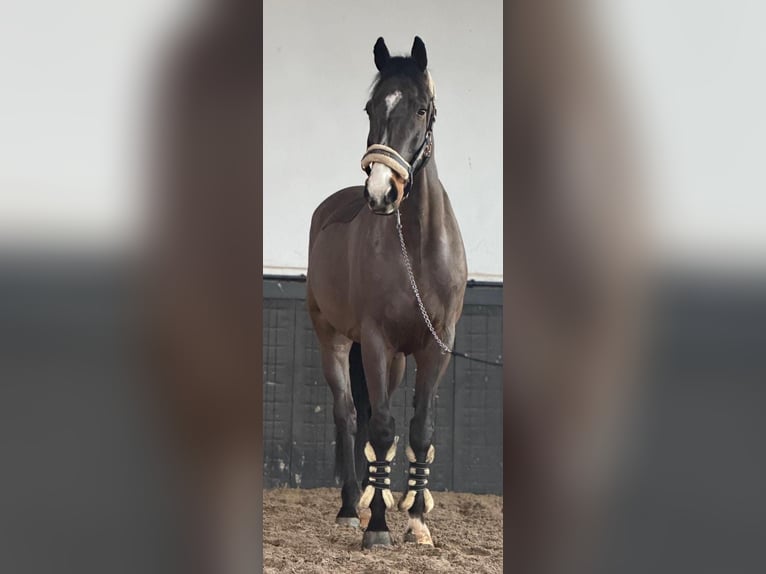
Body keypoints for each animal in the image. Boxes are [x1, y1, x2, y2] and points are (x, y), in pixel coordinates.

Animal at [306, 36, 467, 549]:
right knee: (348, 415)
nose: (381, 192)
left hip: (396, 360)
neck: (417, 248)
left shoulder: (437, 346)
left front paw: (416, 518)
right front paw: (377, 525)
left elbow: (418, 430)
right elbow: (378, 428)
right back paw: (350, 506)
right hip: (335, 340)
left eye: (421, 109)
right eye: (370, 107)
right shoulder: (375, 340)